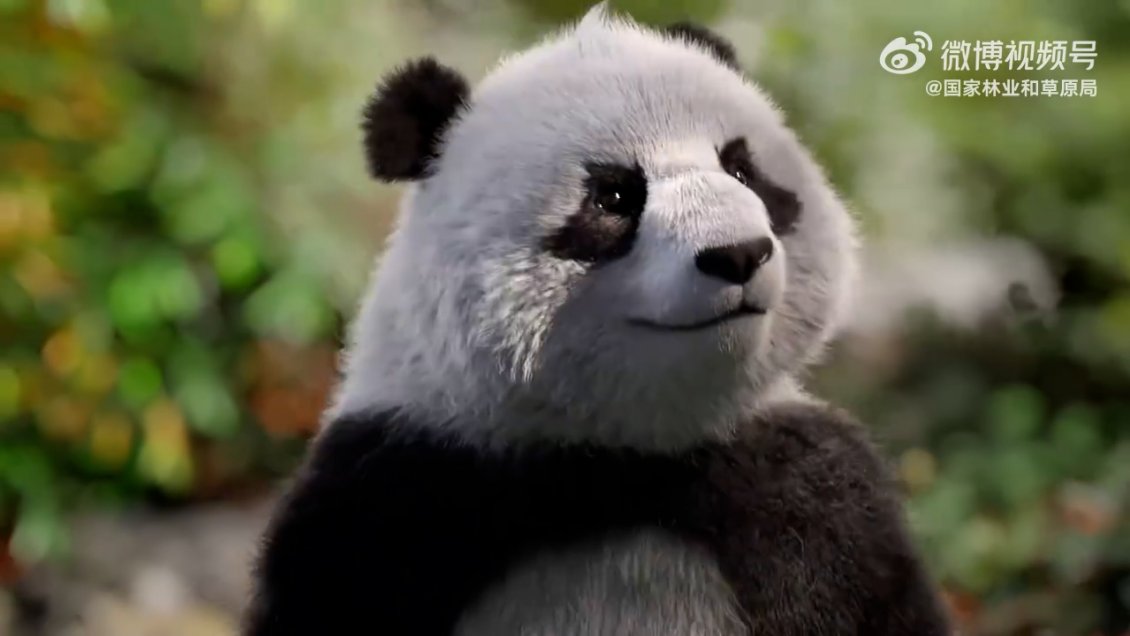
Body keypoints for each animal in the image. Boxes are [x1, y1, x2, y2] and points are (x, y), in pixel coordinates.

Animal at [245, 6, 951, 636]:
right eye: (613, 196)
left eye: (742, 169)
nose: (739, 253)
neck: (623, 461)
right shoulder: (397, 490)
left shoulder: (807, 495)